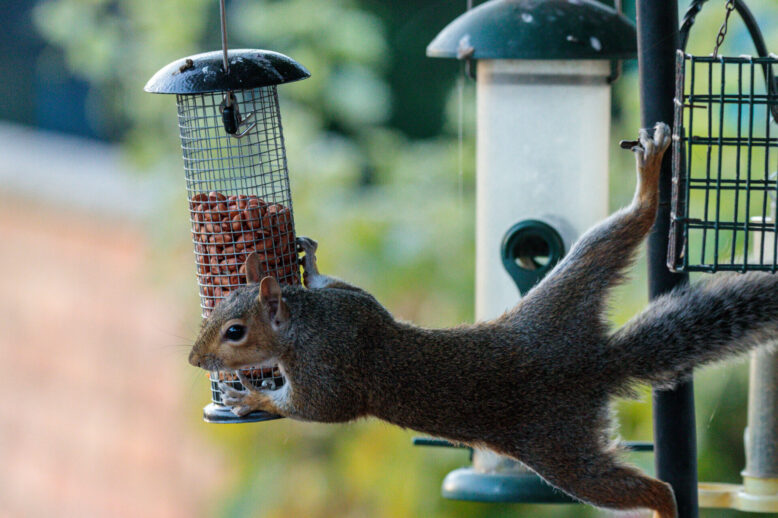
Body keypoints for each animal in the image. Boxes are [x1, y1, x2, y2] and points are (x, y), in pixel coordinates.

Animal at [189, 122, 778, 518]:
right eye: (216, 312)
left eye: (235, 332)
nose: (195, 359)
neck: (307, 323)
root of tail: (595, 363)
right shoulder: (356, 306)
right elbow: (350, 289)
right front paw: (310, 263)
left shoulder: (330, 372)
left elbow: (316, 409)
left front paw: (253, 396)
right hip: (570, 290)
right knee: (630, 225)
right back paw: (649, 182)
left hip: (560, 451)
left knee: (649, 489)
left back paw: (665, 507)